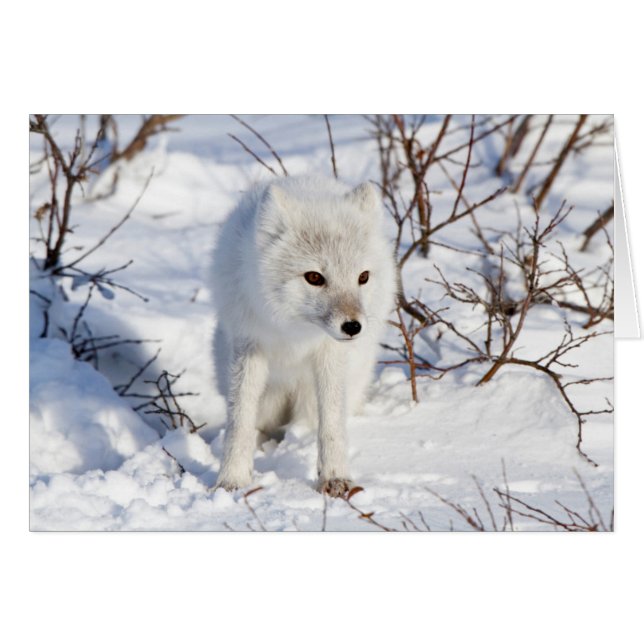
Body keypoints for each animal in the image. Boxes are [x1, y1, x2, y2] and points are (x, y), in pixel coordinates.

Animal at [211, 175, 397, 496]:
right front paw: (231, 480)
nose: (353, 327)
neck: (294, 332)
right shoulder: (249, 345)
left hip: (315, 398)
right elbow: (239, 421)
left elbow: (332, 424)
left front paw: (335, 478)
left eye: (363, 277)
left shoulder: (329, 354)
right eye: (314, 277)